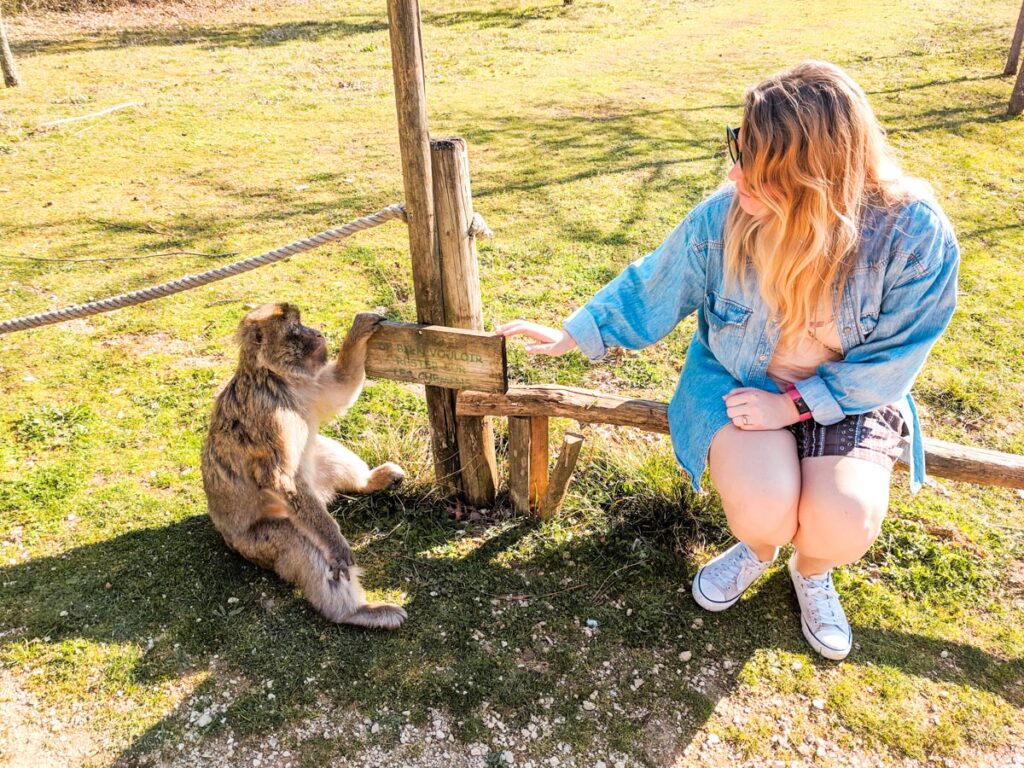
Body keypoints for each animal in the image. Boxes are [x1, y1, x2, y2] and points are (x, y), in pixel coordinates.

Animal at [199, 305, 407, 630]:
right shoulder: (267, 415)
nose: (317, 333)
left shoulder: (309, 384)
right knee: (302, 545)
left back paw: (370, 481)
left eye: (302, 321)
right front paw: (336, 545)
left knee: (324, 452)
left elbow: (341, 387)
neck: (279, 380)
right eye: (296, 329)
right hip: (258, 542)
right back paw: (354, 612)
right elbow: (281, 479)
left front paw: (358, 331)